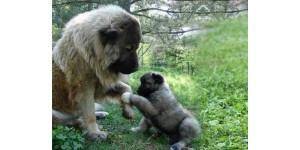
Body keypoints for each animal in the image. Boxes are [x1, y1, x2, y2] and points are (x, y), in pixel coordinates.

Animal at [52, 4, 142, 141]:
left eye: (136, 48)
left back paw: (101, 113)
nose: (136, 68)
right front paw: (94, 132)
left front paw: (128, 110)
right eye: (128, 49)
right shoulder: (85, 89)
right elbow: (89, 113)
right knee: (71, 121)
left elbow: (127, 88)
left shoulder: (102, 83)